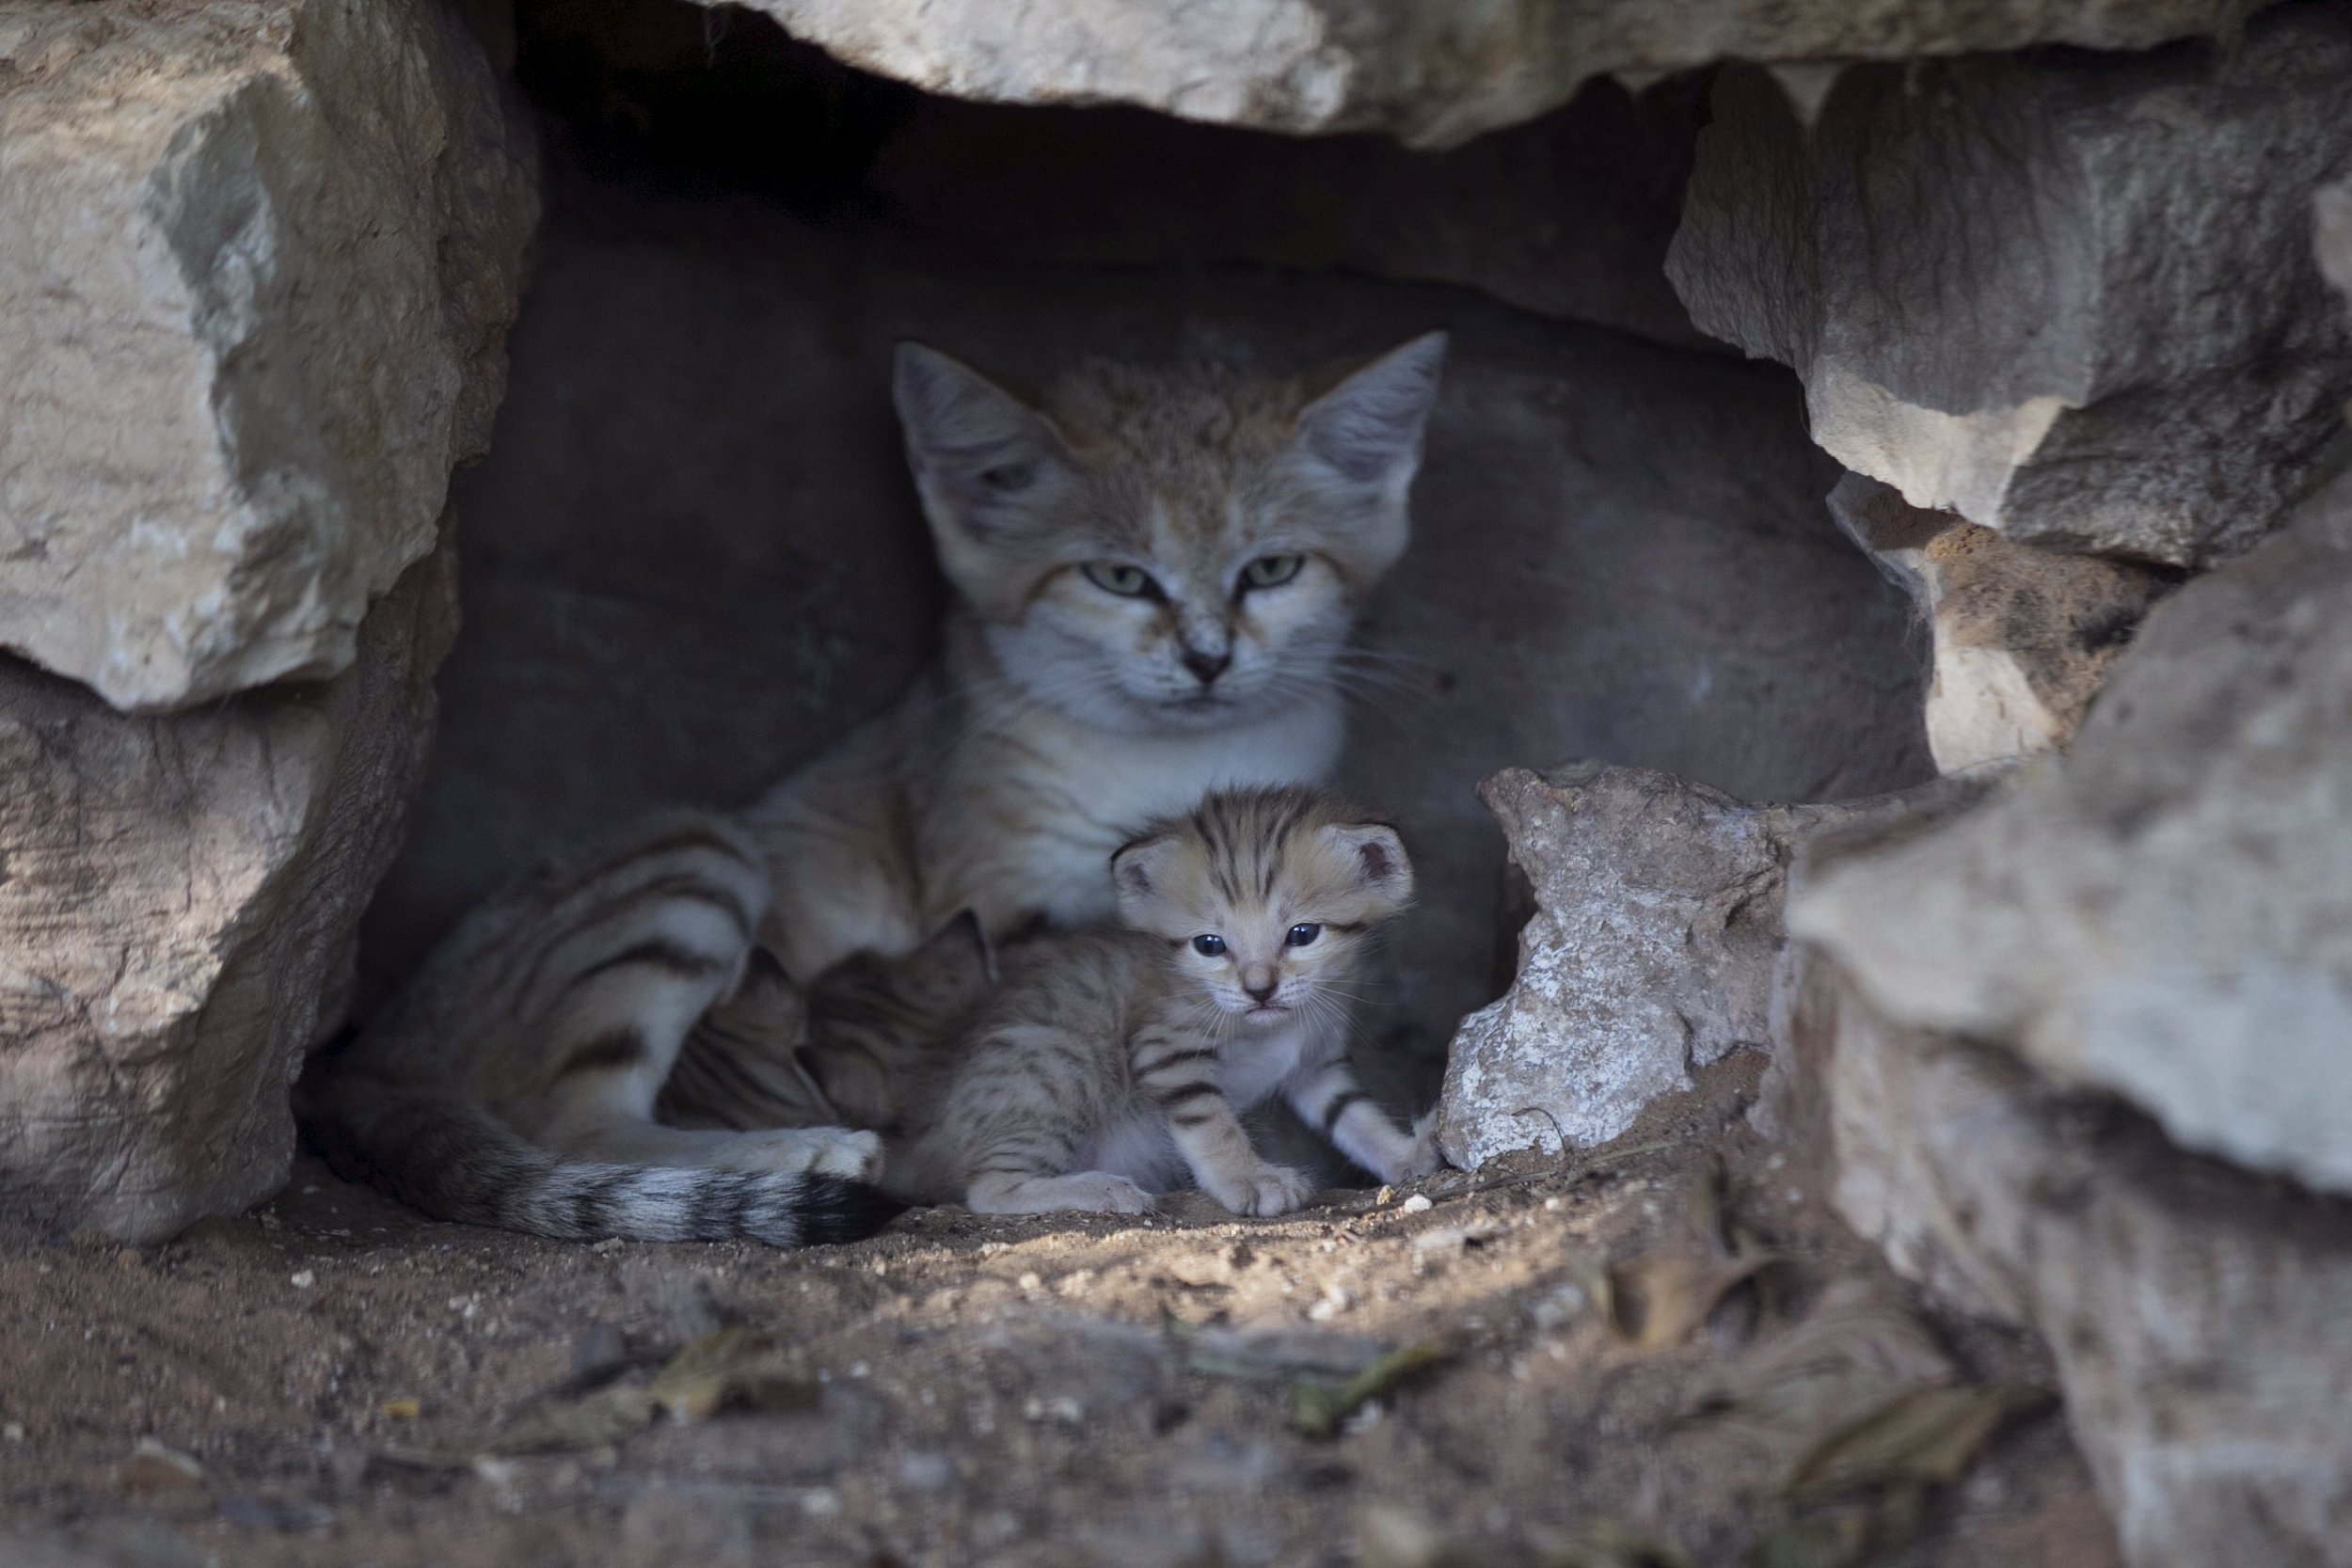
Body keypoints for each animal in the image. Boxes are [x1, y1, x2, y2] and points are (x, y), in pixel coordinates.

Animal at [884, 789, 1430, 1222]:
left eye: (1302, 934)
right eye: (1209, 945)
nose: (1260, 990)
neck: (1273, 1027)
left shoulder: (1315, 1066)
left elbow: (1354, 1116)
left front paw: (1406, 1156)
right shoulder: (1166, 1050)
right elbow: (1212, 1123)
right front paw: (1250, 1179)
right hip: (1061, 1067)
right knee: (987, 1187)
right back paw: (1100, 1189)